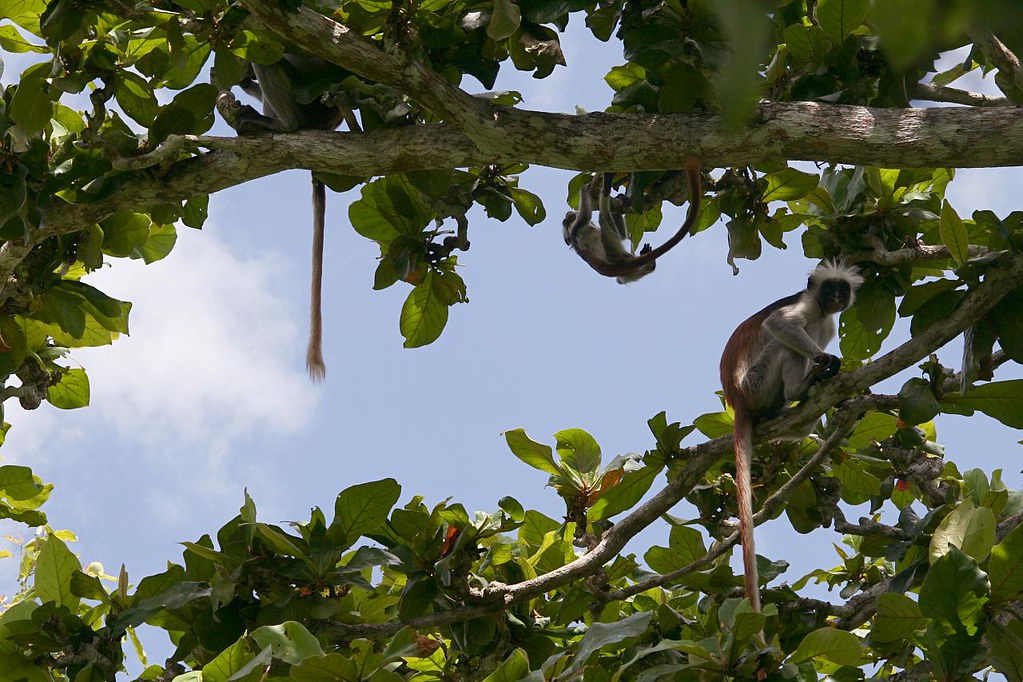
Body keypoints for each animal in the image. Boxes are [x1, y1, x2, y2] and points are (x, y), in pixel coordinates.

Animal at [560, 161, 703, 284]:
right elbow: (586, 216)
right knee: (603, 218)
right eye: (566, 221)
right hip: (613, 253)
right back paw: (605, 188)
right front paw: (586, 188)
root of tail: (620, 266)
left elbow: (622, 235)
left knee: (621, 280)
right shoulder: (577, 229)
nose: (568, 215)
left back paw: (649, 265)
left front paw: (620, 197)